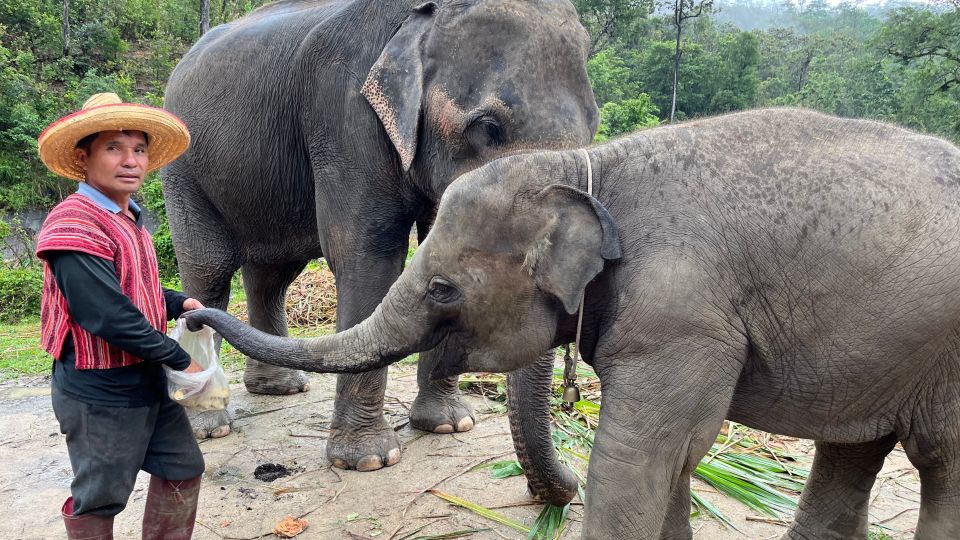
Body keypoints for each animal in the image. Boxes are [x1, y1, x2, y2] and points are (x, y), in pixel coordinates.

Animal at [160, 0, 599, 471]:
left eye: (593, 127)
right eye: (486, 127)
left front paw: (449, 425)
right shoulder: (344, 117)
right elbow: (369, 256)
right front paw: (368, 460)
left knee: (272, 275)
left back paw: (280, 388)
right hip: (184, 167)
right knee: (210, 268)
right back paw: (209, 423)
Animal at [184, 107, 960, 539]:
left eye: (442, 288)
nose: (188, 312)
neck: (586, 168)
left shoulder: (682, 317)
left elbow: (637, 457)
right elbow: (674, 462)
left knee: (937, 468)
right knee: (852, 453)